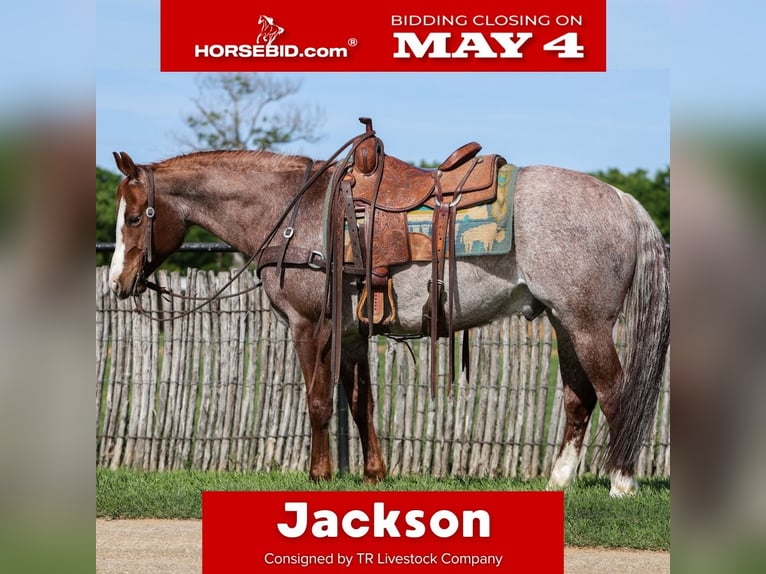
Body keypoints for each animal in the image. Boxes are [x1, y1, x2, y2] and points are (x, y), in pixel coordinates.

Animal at [107, 131, 669, 497]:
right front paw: (373, 473)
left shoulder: (310, 327)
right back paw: (558, 482)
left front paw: (319, 475)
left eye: (134, 217)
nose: (117, 283)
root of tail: (622, 200)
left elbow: (318, 402)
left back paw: (622, 483)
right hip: (563, 321)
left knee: (615, 393)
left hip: (588, 324)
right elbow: (361, 404)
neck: (295, 216)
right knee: (579, 398)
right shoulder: (353, 333)